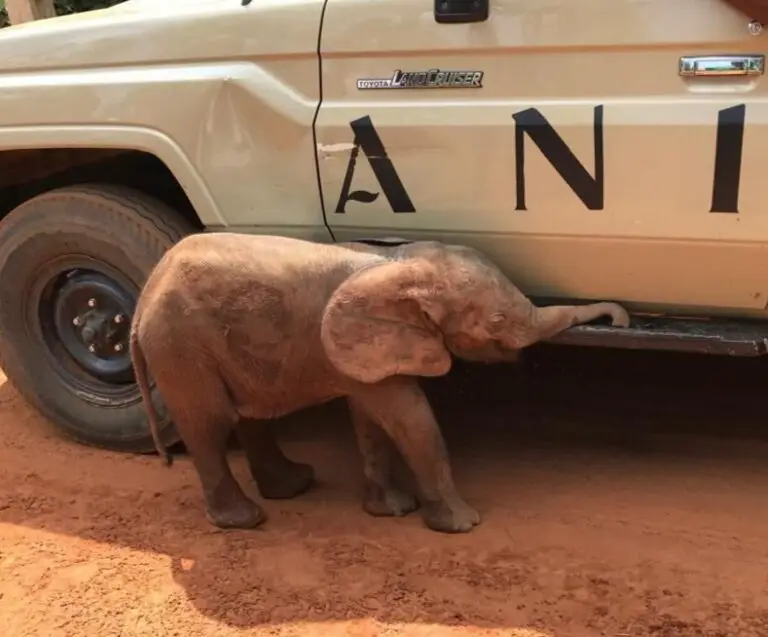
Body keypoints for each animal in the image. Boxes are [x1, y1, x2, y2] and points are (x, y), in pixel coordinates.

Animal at [130, 233, 630, 534]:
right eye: (497, 321)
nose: (620, 319)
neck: (398, 261)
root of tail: (141, 301)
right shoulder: (361, 345)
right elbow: (409, 417)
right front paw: (462, 526)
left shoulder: (367, 354)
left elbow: (371, 420)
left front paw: (390, 511)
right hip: (179, 344)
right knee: (211, 424)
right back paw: (245, 521)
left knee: (250, 414)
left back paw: (295, 486)